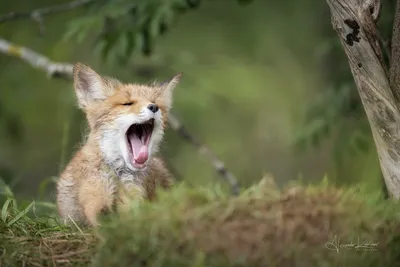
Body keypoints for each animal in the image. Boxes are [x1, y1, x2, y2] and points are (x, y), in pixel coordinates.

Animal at [57, 63, 182, 227]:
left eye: (155, 103)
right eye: (127, 103)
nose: (153, 107)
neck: (119, 175)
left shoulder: (135, 197)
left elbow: (133, 214)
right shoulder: (94, 192)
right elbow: (100, 214)